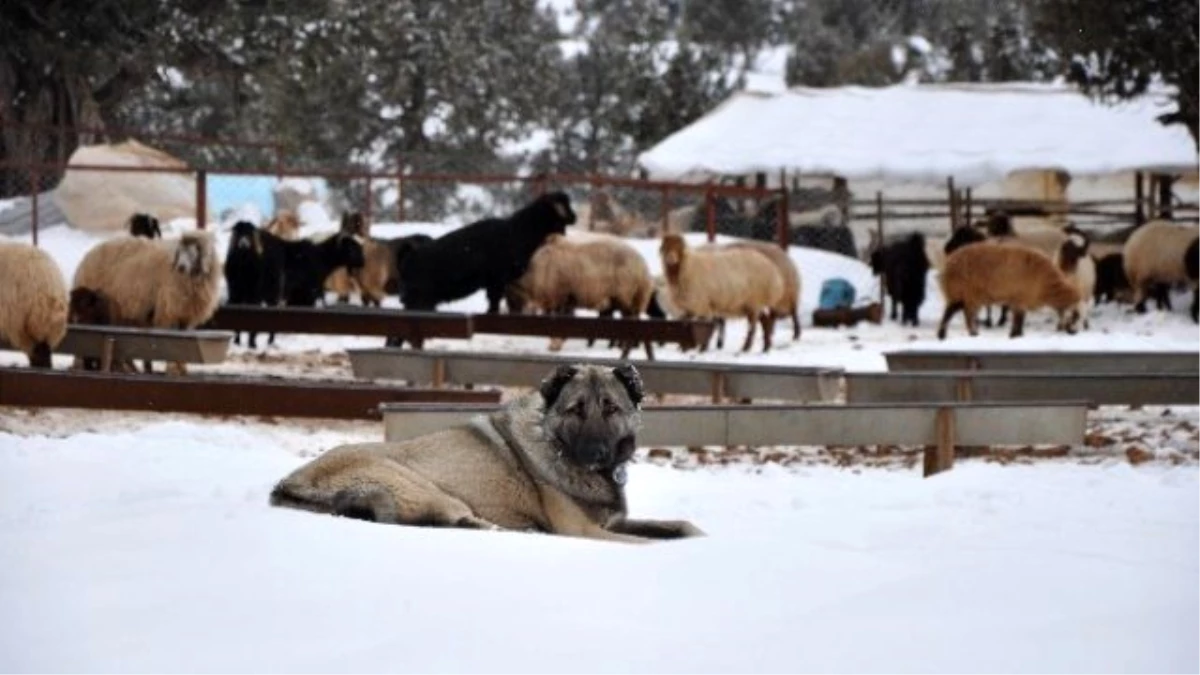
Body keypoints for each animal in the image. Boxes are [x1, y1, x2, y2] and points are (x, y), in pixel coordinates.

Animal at [398, 190, 576, 312]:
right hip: (420, 300)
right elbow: (494, 302)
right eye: (564, 207)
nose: (574, 217)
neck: (517, 231)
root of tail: (409, 259)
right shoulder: (497, 279)